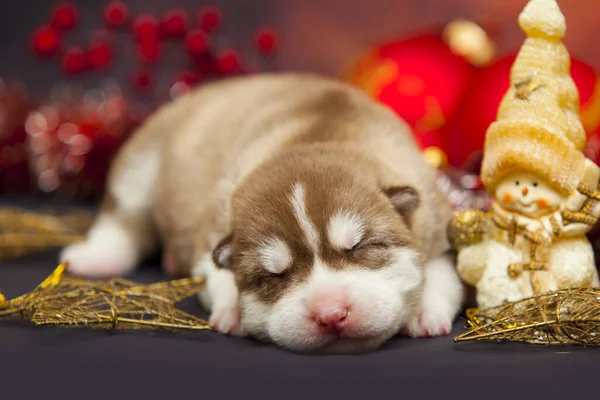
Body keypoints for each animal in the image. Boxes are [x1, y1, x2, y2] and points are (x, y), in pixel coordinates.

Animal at [59, 72, 464, 354]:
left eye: (360, 248)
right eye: (274, 275)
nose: (330, 313)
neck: (313, 141)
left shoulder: (436, 222)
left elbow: (443, 271)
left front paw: (424, 310)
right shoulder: (214, 227)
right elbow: (213, 268)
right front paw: (234, 309)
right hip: (143, 161)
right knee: (122, 218)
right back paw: (94, 257)